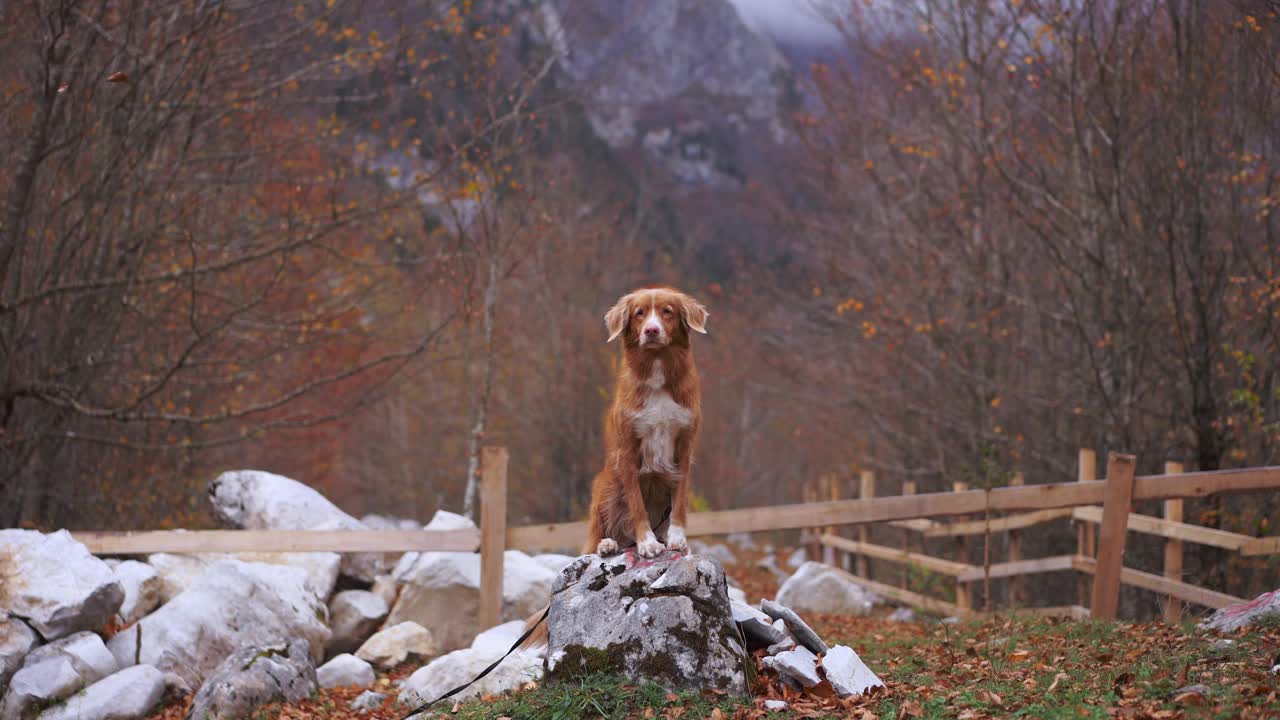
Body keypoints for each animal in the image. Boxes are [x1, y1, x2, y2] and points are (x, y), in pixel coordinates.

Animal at [583, 284, 706, 556]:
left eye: (667, 311)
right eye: (639, 313)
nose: (651, 330)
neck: (657, 367)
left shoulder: (684, 446)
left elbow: (679, 501)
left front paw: (677, 538)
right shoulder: (628, 450)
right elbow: (636, 504)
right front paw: (647, 543)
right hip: (605, 484)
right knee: (597, 537)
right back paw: (607, 543)